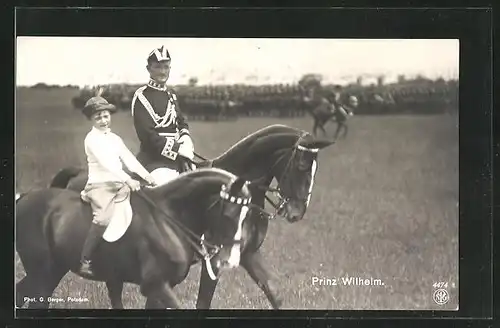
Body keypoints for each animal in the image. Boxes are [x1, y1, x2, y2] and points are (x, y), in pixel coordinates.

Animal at [16, 168, 254, 308]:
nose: (230, 261)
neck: (168, 218)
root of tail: (24, 198)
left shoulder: (161, 287)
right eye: (229, 214)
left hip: (54, 270)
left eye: (247, 215)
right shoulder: (155, 285)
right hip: (42, 273)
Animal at [48, 124, 334, 308]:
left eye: (315, 169)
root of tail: (78, 174)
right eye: (301, 165)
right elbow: (201, 303)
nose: (296, 212)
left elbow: (274, 293)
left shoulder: (249, 254)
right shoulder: (213, 261)